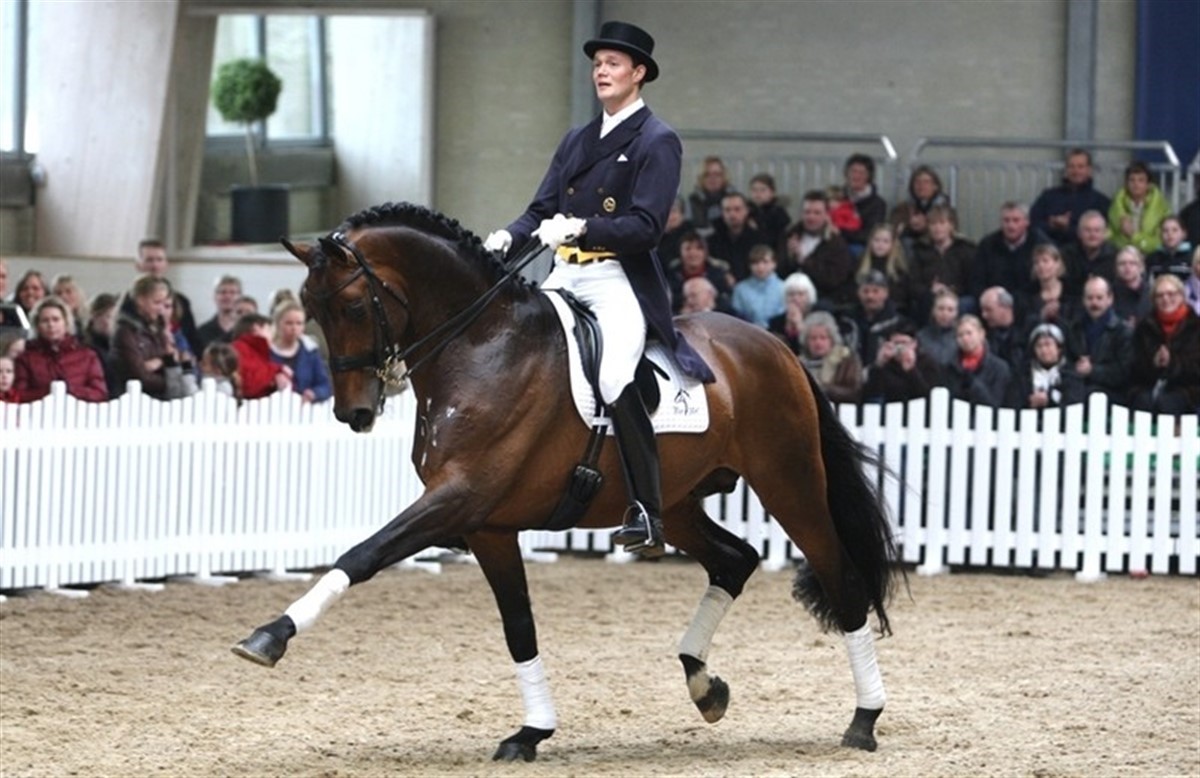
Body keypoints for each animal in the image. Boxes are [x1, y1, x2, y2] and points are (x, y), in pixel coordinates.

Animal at [232, 202, 899, 762]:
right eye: (310, 309)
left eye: (349, 306)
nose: (355, 413)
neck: (480, 345)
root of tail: (776, 346)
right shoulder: (489, 527)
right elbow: (519, 627)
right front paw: (532, 732)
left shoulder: (455, 499)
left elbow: (361, 555)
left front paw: (269, 636)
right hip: (679, 502)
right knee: (734, 559)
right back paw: (703, 684)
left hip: (790, 482)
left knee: (840, 577)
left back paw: (863, 720)